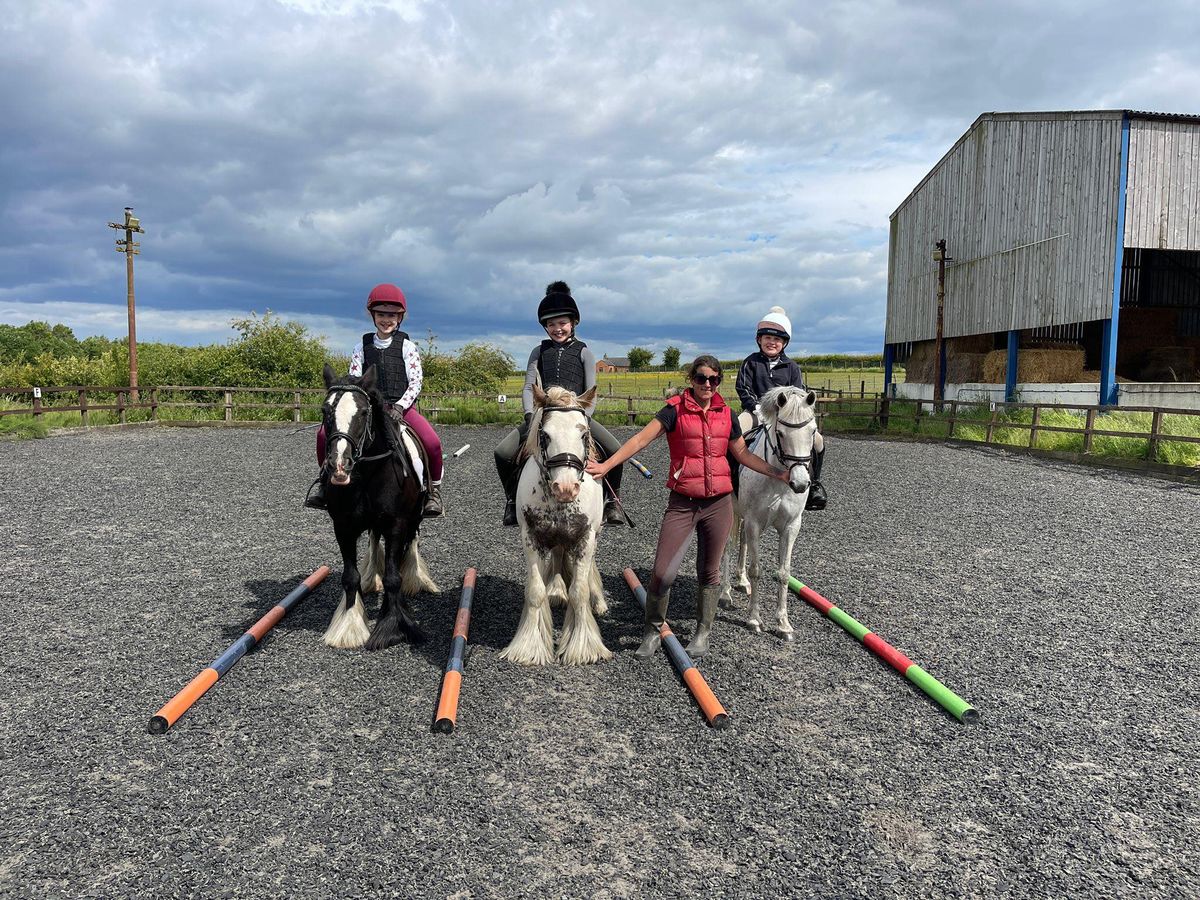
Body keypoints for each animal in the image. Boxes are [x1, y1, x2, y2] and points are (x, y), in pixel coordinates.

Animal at [316, 362, 439, 652]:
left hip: (413, 518)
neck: (369, 472)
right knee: (374, 541)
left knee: (411, 544)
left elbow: (394, 577)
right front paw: (349, 626)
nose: (340, 466)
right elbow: (350, 577)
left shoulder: (396, 524)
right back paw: (374, 577)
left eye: (363, 412)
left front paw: (391, 628)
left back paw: (413, 579)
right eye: (325, 411)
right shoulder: (343, 526)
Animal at [496, 384, 609, 667]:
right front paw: (528, 647)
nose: (566, 488)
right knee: (558, 555)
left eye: (584, 434)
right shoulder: (530, 537)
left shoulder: (586, 537)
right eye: (545, 435)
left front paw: (583, 648)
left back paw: (598, 602)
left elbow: (579, 591)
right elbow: (535, 591)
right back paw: (557, 591)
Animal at [715, 388, 820, 643]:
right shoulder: (754, 523)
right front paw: (754, 619)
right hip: (733, 512)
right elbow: (757, 570)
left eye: (813, 431)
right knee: (729, 546)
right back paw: (725, 594)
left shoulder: (791, 526)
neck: (778, 478)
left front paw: (783, 624)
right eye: (780, 433)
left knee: (742, 543)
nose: (800, 484)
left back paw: (741, 582)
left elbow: (783, 573)